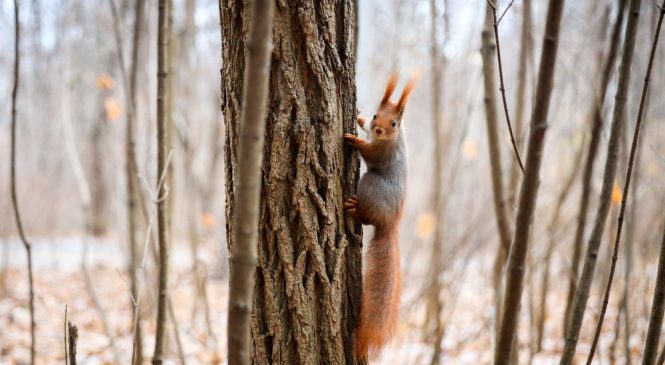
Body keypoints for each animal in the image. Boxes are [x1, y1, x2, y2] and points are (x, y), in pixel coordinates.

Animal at [342, 73, 416, 358]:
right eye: (376, 115)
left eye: (394, 123)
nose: (379, 130)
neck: (394, 138)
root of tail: (389, 223)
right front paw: (359, 118)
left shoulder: (382, 151)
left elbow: (369, 151)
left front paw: (354, 140)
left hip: (369, 184)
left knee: (365, 216)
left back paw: (355, 208)